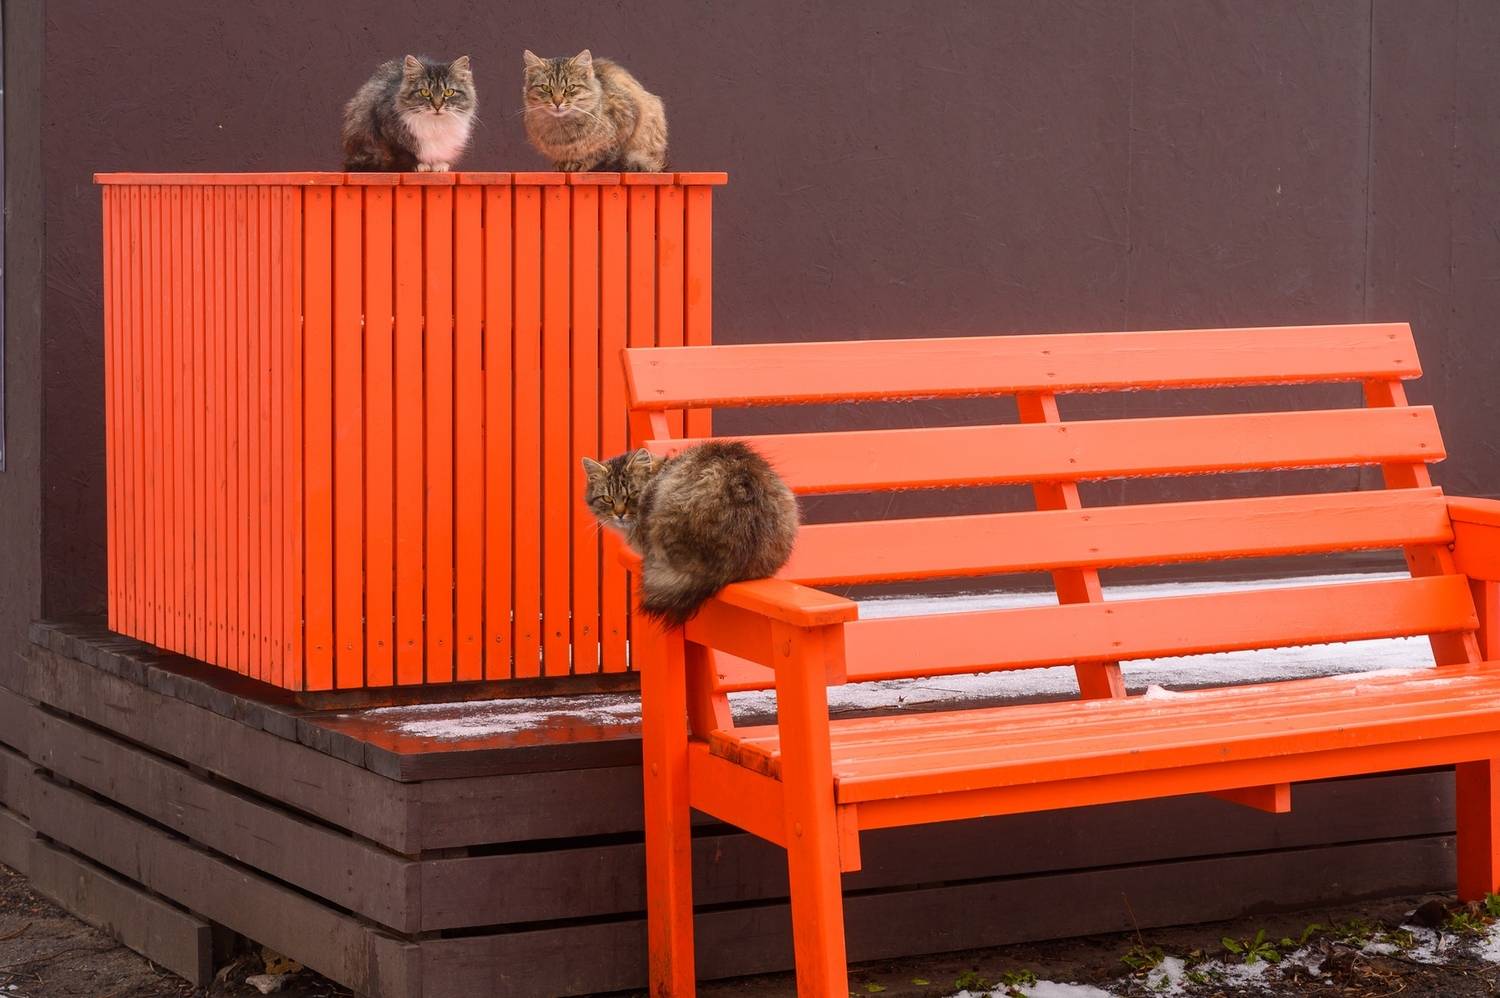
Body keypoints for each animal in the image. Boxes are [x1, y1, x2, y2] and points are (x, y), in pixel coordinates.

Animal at [342, 55, 477, 172]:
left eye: (449, 92)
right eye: (425, 92)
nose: (437, 106)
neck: (435, 125)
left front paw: (439, 165)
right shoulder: (386, 133)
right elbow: (404, 155)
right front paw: (420, 165)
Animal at [522, 49, 668, 172]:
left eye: (570, 88)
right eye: (546, 88)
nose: (557, 102)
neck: (561, 128)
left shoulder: (626, 123)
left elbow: (602, 153)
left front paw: (580, 163)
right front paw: (562, 164)